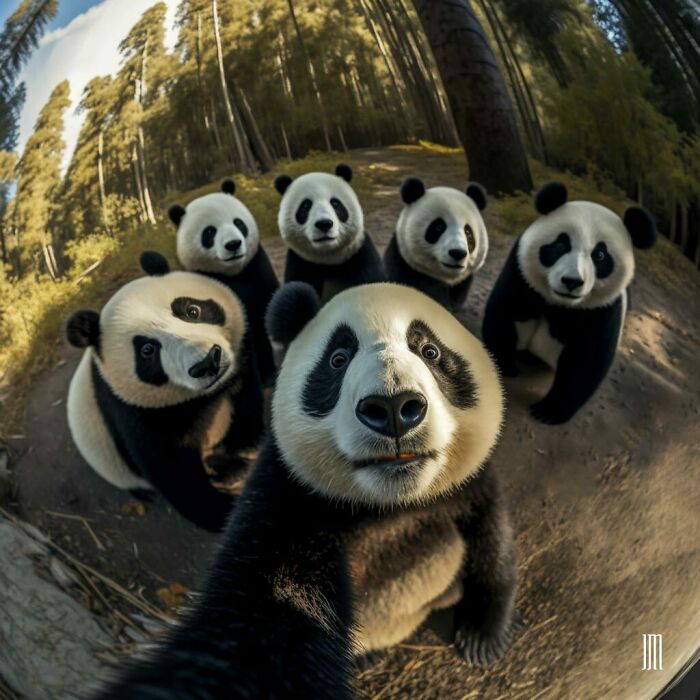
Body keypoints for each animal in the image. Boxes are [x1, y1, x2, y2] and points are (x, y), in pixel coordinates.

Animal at [66, 252, 248, 532]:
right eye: (147, 350)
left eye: (192, 311)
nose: (207, 363)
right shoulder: (131, 409)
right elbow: (174, 474)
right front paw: (222, 513)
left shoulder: (237, 368)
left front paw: (234, 462)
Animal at [95, 283, 517, 700]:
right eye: (338, 359)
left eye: (429, 351)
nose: (394, 408)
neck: (390, 502)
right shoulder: (289, 501)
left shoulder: (468, 484)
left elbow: (490, 534)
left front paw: (481, 637)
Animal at [274, 163, 385, 302]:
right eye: (305, 206)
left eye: (335, 203)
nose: (324, 224)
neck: (328, 260)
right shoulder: (300, 263)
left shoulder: (361, 255)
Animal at [482, 181, 657, 425]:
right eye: (561, 245)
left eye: (600, 255)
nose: (572, 281)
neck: (559, 304)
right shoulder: (521, 275)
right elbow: (505, 313)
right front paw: (504, 366)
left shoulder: (604, 307)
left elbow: (586, 359)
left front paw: (548, 412)